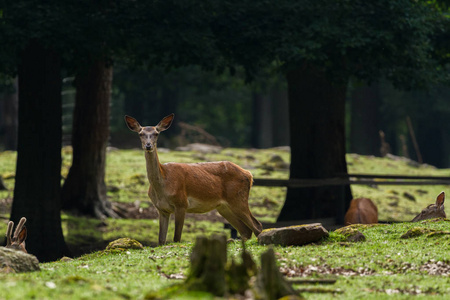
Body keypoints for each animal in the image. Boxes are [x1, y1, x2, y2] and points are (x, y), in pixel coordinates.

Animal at [124, 113, 264, 245]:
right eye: (141, 134)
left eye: (156, 133)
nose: (148, 145)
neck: (163, 184)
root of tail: (249, 174)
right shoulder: (161, 209)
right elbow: (161, 240)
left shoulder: (182, 203)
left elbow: (176, 238)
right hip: (223, 207)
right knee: (245, 230)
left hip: (238, 198)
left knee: (257, 226)